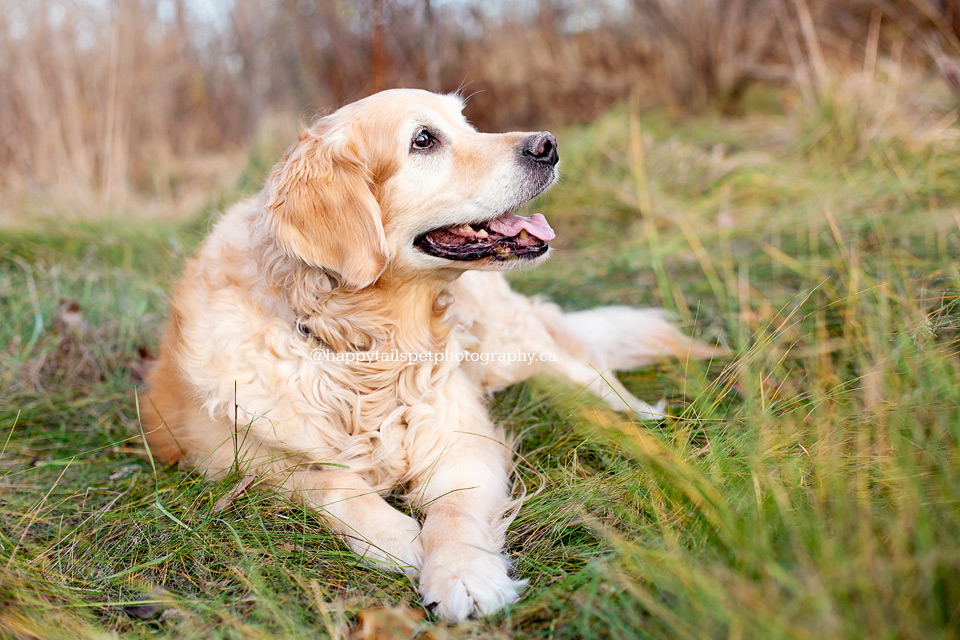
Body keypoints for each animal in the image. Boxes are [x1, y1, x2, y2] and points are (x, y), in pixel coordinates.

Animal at [139, 89, 716, 620]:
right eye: (423, 140)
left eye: (466, 122)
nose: (548, 145)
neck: (365, 347)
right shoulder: (224, 454)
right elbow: (321, 479)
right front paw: (396, 537)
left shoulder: (459, 437)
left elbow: (454, 511)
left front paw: (463, 574)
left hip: (505, 336)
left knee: (577, 368)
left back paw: (635, 415)